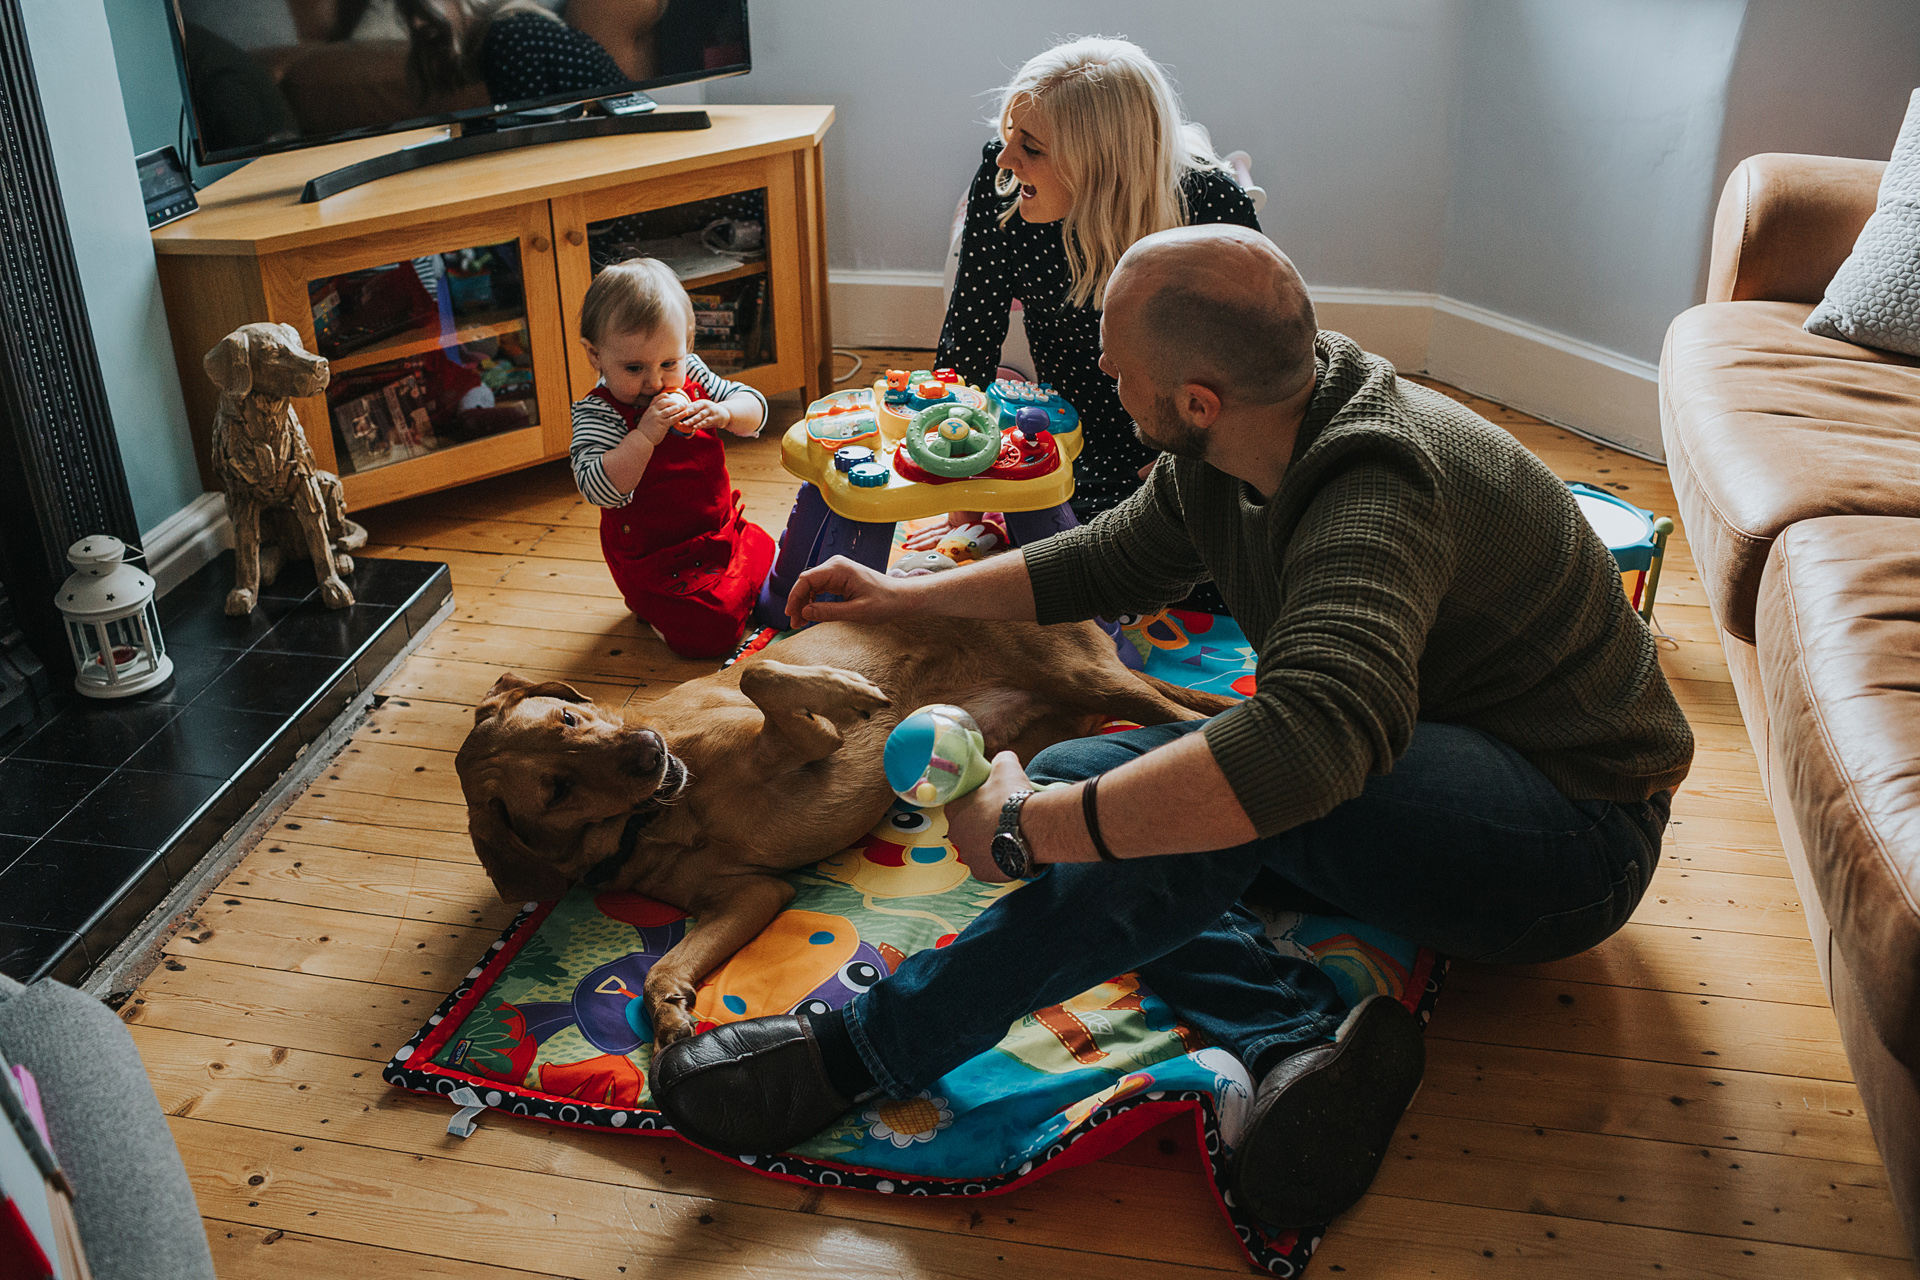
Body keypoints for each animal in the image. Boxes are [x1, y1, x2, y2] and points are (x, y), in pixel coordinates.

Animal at [456, 617, 1228, 1051]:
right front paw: (669, 1015)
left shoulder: (802, 741)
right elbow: (664, 967)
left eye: (568, 719)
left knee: (1191, 718)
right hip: (1057, 725)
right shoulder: (752, 896)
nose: (649, 752)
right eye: (556, 789)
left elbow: (766, 673)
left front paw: (846, 689)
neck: (663, 812)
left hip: (1093, 678)